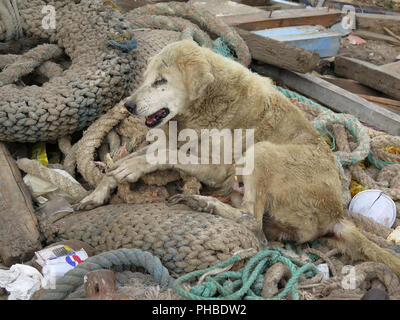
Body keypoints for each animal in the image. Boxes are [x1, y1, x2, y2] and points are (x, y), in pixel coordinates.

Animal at [77, 39, 400, 276]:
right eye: (145, 79)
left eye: (161, 81)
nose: (128, 106)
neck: (206, 101)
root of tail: (337, 214)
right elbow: (129, 162)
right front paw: (98, 191)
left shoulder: (215, 167)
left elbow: (163, 155)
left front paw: (131, 168)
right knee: (257, 222)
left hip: (262, 152)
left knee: (252, 222)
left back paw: (203, 203)